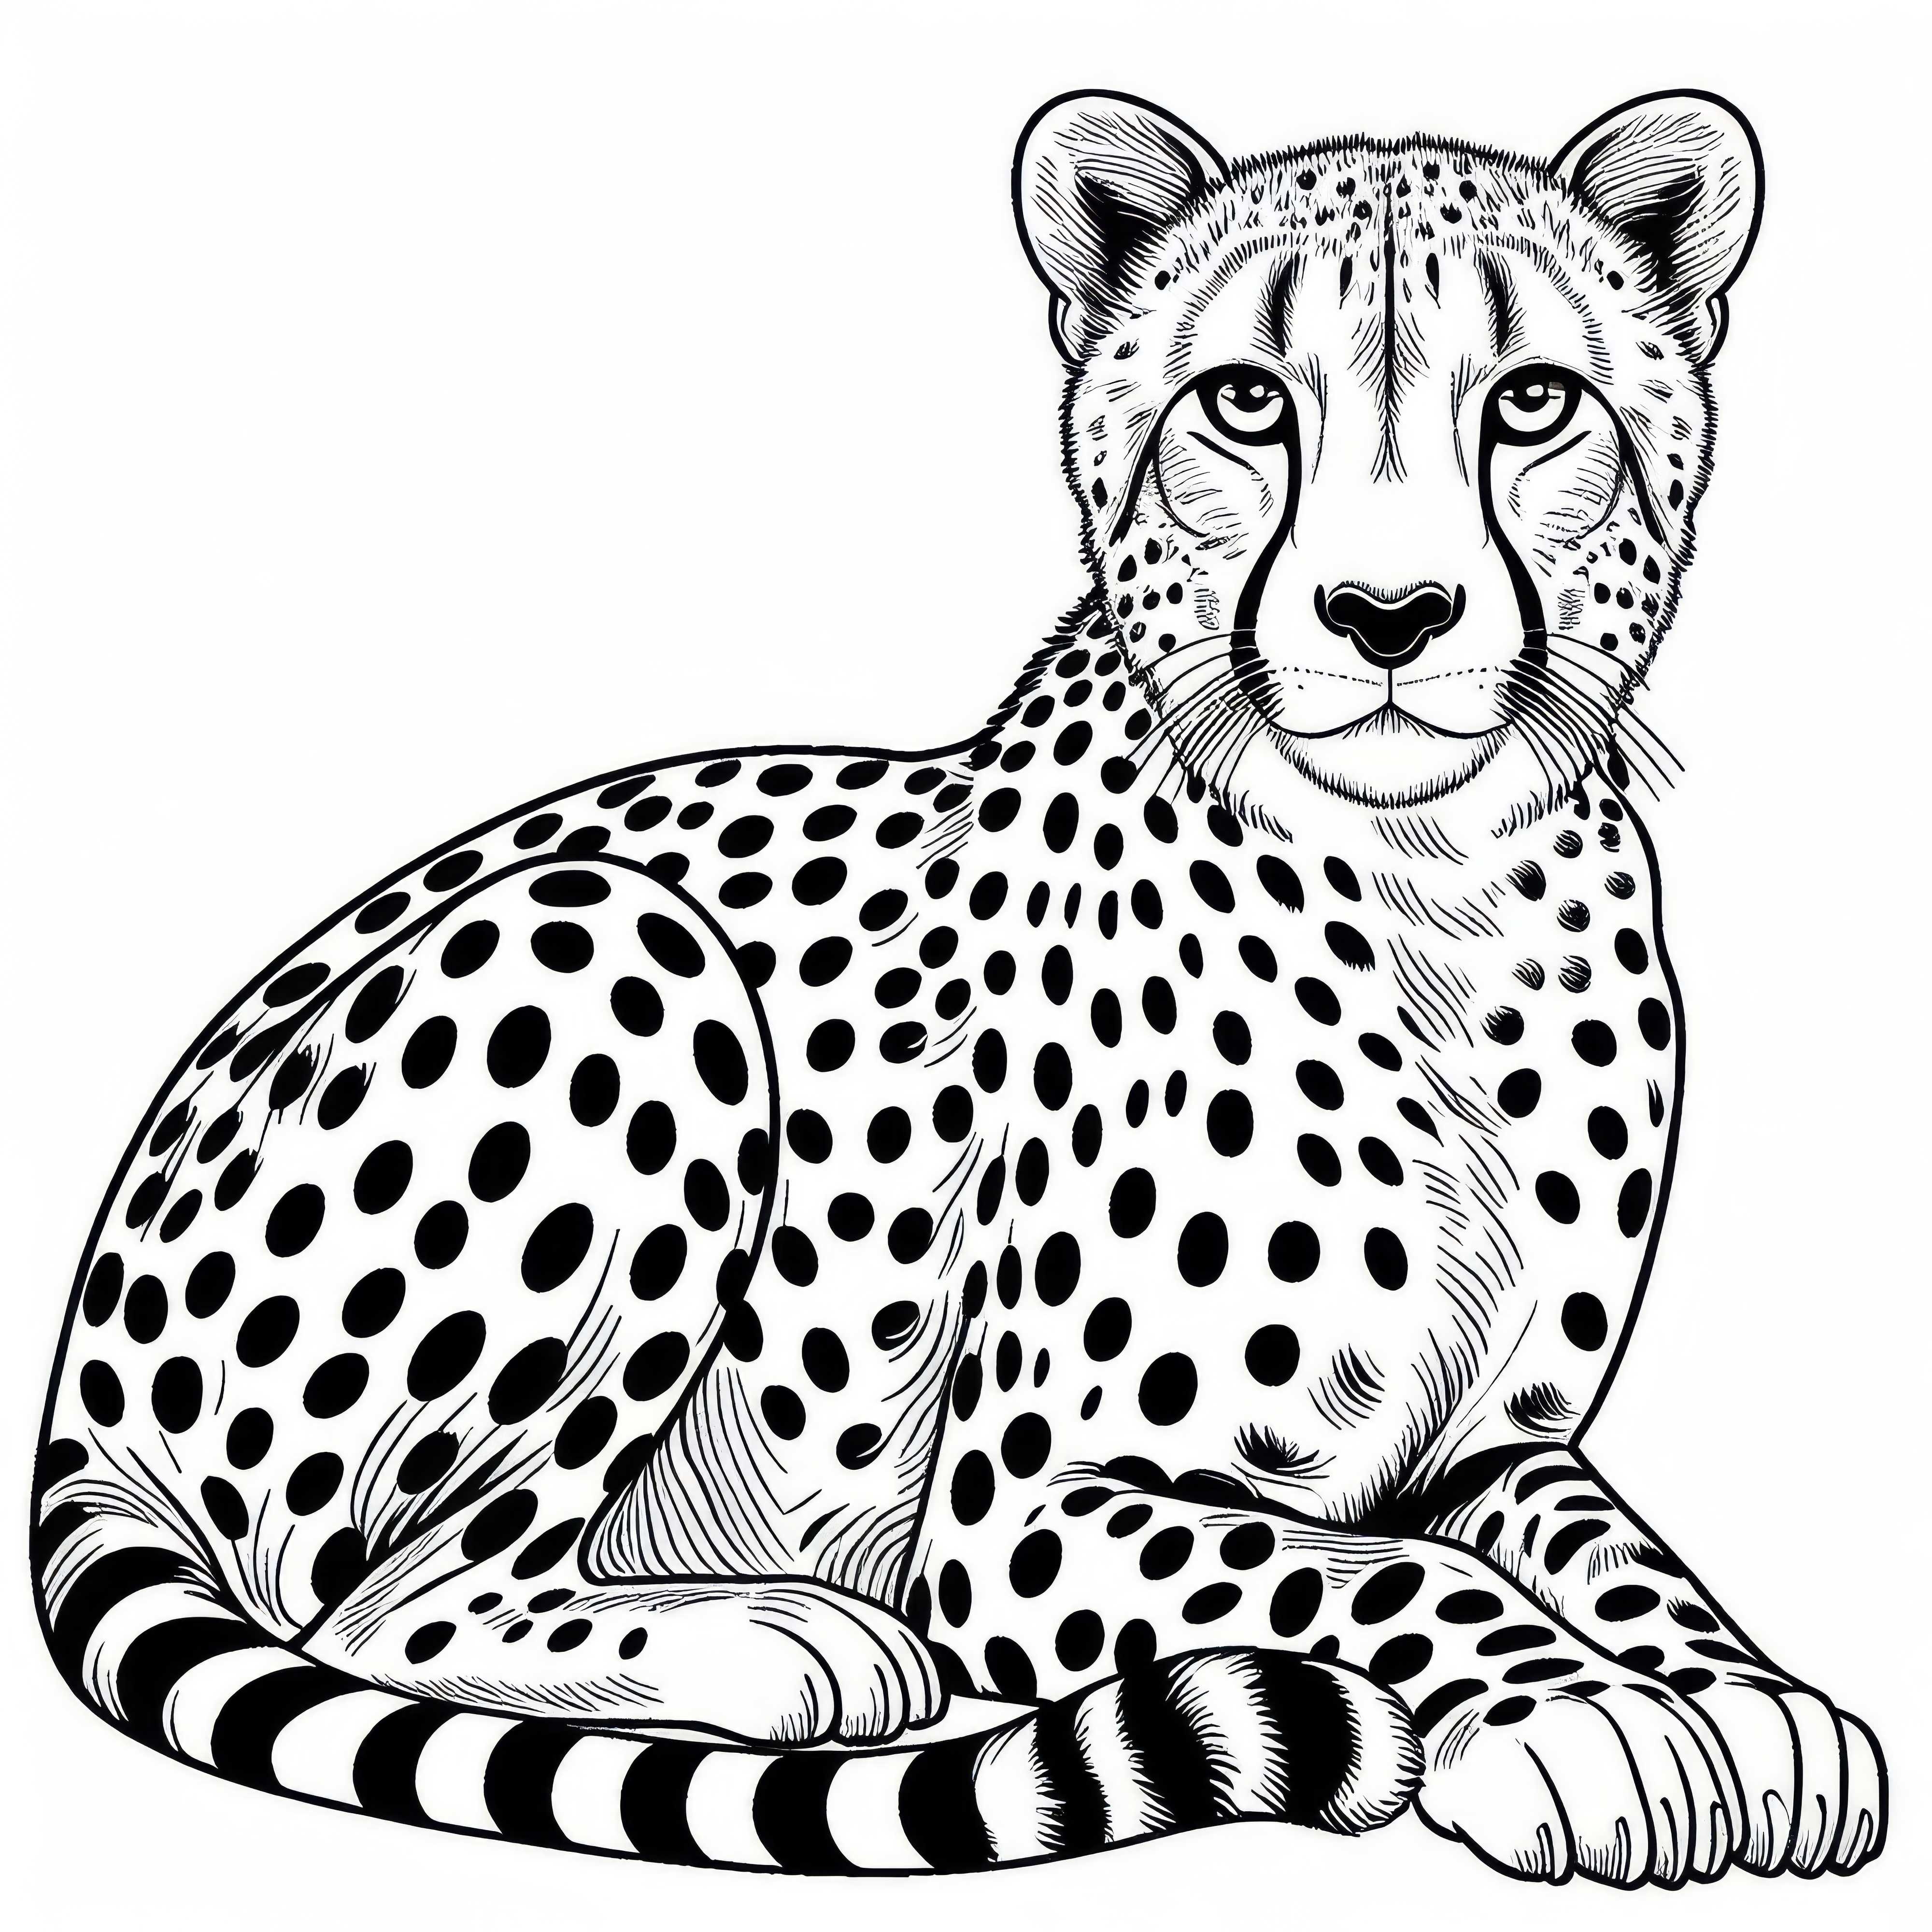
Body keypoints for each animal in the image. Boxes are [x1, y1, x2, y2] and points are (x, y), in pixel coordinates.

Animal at [32, 87, 1888, 1886]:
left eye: (1530, 402)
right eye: (1243, 402)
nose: (1387, 613)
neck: (1434, 888)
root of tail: (87, 1369)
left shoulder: (1498, 1447)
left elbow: (1616, 1553)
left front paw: (1747, 1698)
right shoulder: (1022, 1515)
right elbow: (1380, 1575)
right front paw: (1584, 1718)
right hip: (615, 945)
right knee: (376, 1606)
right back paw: (781, 1643)